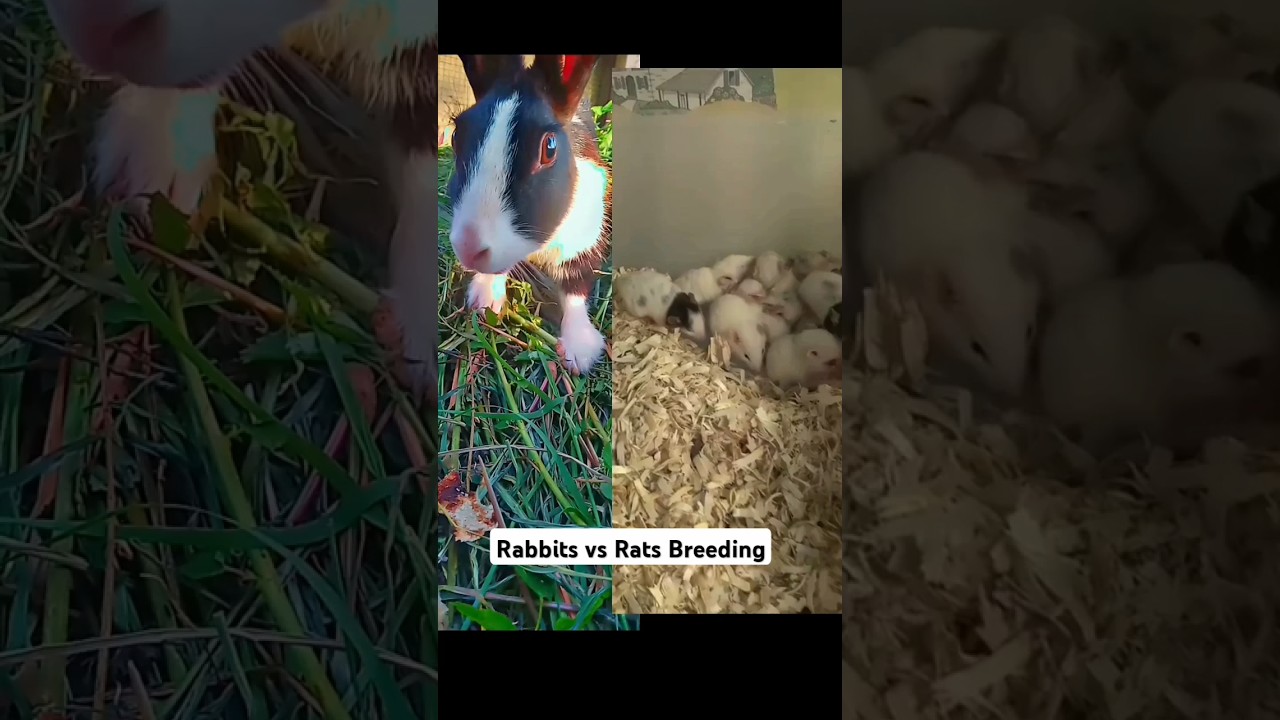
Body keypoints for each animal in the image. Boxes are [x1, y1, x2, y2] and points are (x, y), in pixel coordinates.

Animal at [448, 55, 610, 376]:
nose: (468, 248)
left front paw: (580, 351)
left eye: (549, 148)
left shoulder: (585, 246)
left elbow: (576, 290)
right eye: (456, 135)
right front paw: (485, 299)